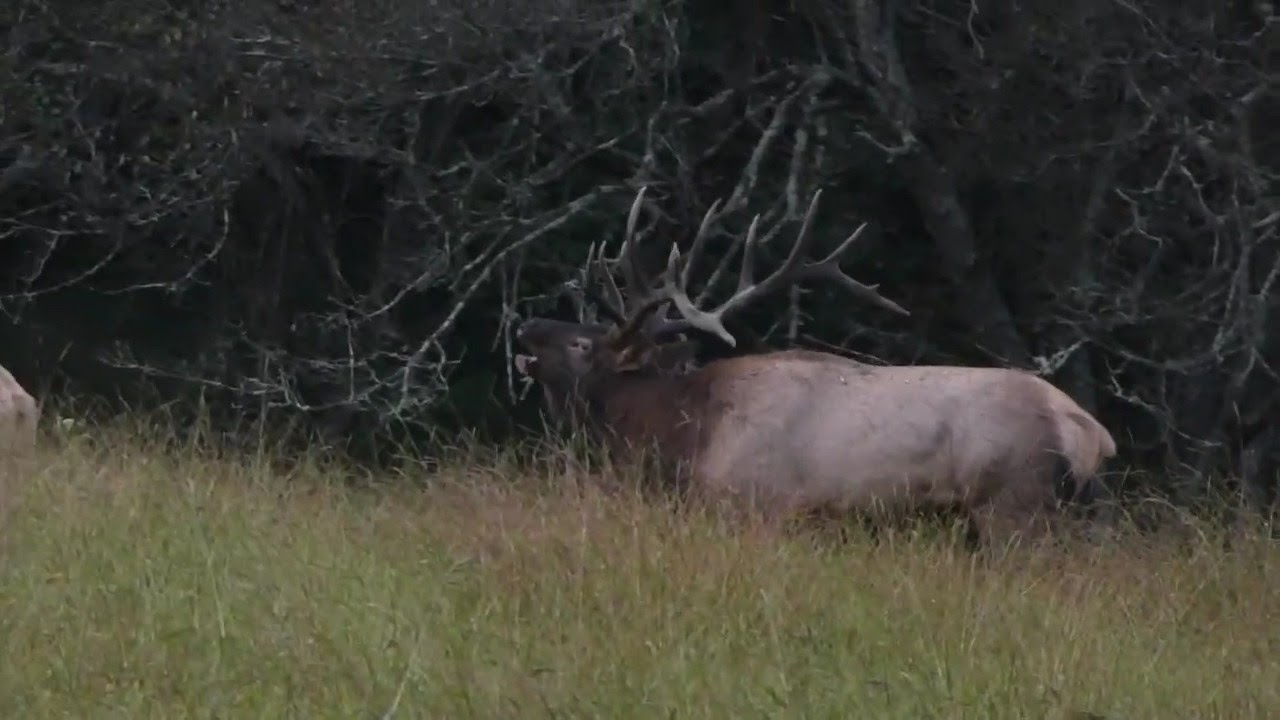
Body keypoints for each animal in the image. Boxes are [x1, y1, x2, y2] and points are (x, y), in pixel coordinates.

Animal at [512, 186, 1118, 548]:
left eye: (583, 344)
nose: (526, 326)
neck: (684, 440)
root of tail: (1091, 433)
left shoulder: (757, 508)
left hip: (1013, 504)